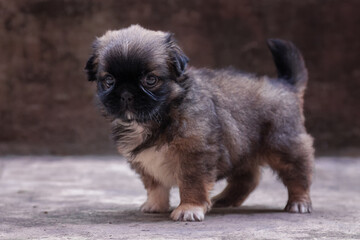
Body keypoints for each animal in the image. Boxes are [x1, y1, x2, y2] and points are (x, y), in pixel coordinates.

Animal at [86, 24, 314, 221]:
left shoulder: (194, 154)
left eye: (150, 80)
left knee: (298, 173)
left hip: (284, 147)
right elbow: (155, 185)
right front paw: (155, 204)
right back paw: (224, 200)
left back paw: (299, 202)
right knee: (248, 179)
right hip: (241, 149)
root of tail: (286, 85)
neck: (160, 114)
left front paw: (189, 208)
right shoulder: (146, 161)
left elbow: (191, 184)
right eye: (109, 81)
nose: (126, 94)